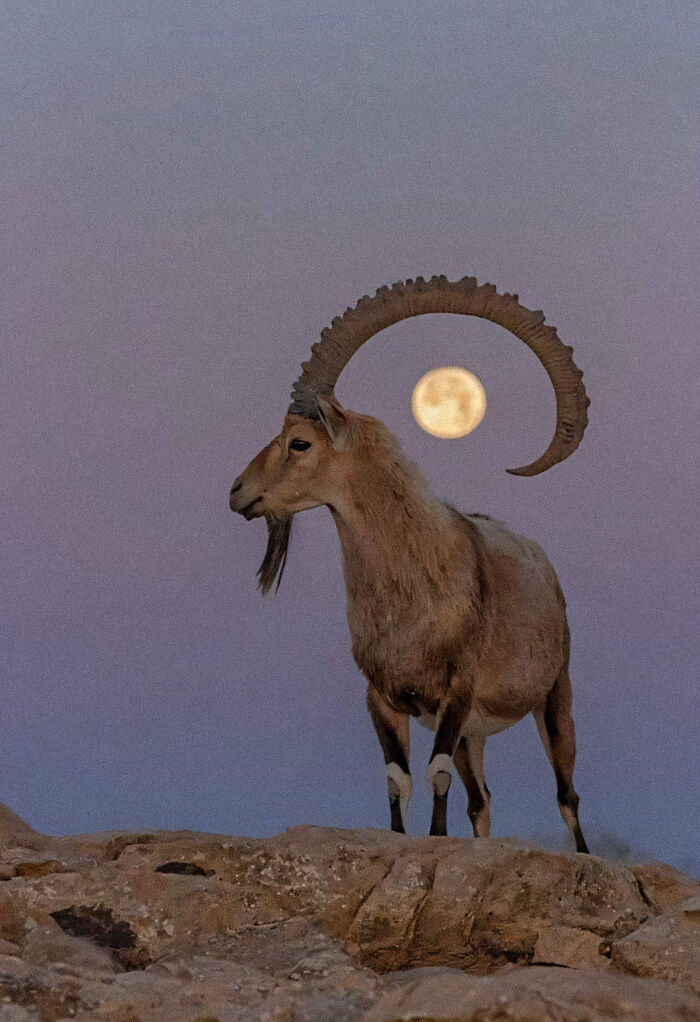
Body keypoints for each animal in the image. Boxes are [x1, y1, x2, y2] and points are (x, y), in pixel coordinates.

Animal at [229, 276, 590, 849]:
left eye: (299, 442)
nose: (238, 493)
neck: (412, 588)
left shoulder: (455, 691)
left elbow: (434, 772)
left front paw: (436, 841)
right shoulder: (383, 698)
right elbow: (397, 779)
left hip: (555, 696)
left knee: (567, 796)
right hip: (474, 733)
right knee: (481, 801)